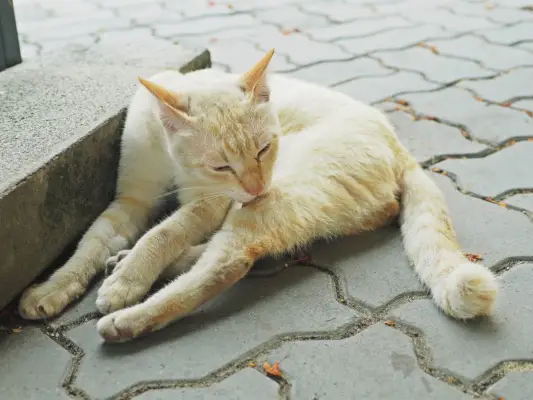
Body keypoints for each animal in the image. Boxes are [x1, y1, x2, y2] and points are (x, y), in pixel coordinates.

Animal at [18, 47, 496, 340]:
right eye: (221, 164)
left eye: (265, 148)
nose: (254, 185)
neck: (175, 163)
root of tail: (399, 146)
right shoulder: (131, 200)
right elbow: (89, 244)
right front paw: (52, 289)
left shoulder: (210, 203)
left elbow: (162, 234)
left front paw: (128, 281)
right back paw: (126, 264)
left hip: (273, 203)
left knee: (229, 263)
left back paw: (127, 318)